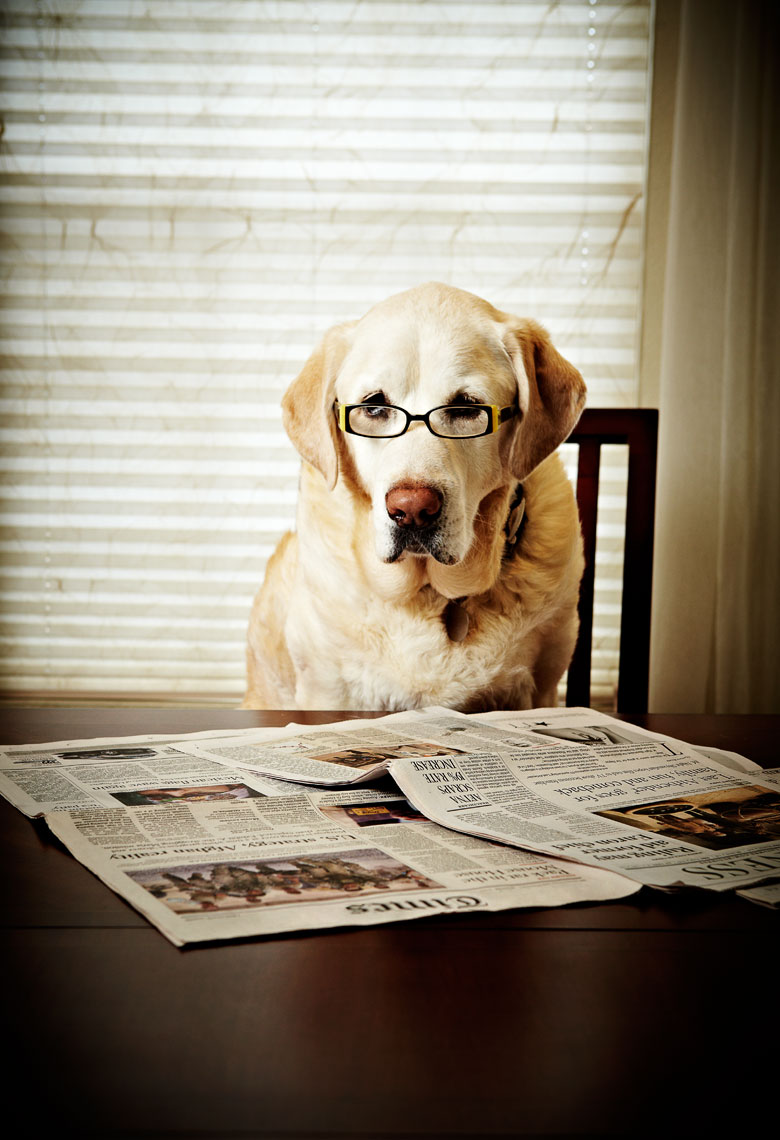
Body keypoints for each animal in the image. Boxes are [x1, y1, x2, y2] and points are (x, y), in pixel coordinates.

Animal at [244, 280, 583, 706]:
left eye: (466, 407)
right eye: (373, 407)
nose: (412, 509)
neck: (429, 591)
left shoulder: (542, 688)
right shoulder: (326, 689)